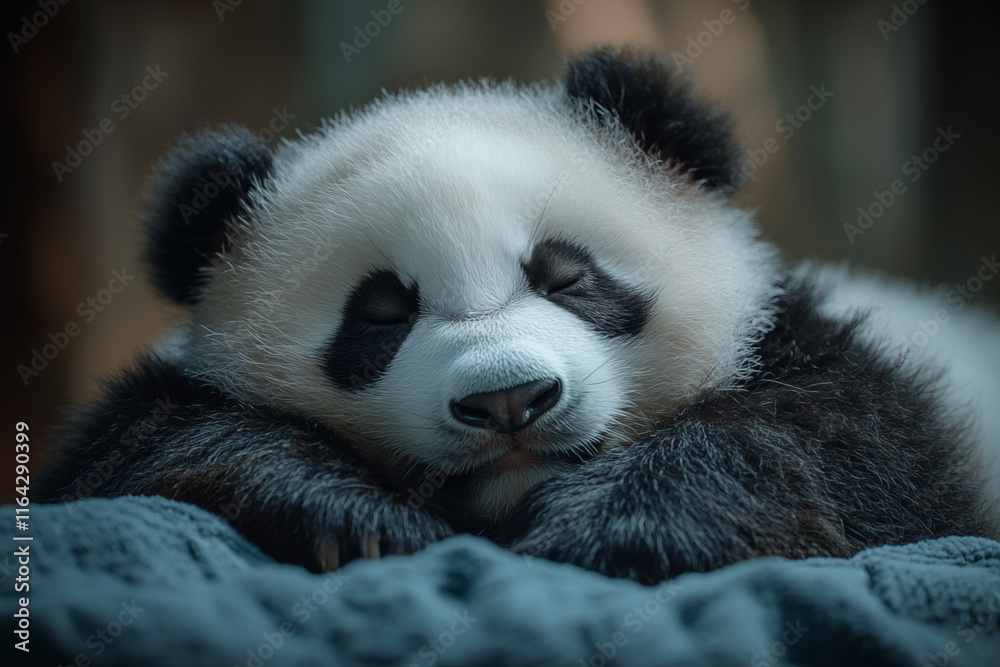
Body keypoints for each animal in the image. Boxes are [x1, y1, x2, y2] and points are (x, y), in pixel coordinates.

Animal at [38, 49, 1000, 584]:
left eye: (565, 276)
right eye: (380, 315)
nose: (508, 400)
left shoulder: (829, 365)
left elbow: (833, 442)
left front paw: (617, 532)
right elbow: (147, 446)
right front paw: (360, 522)